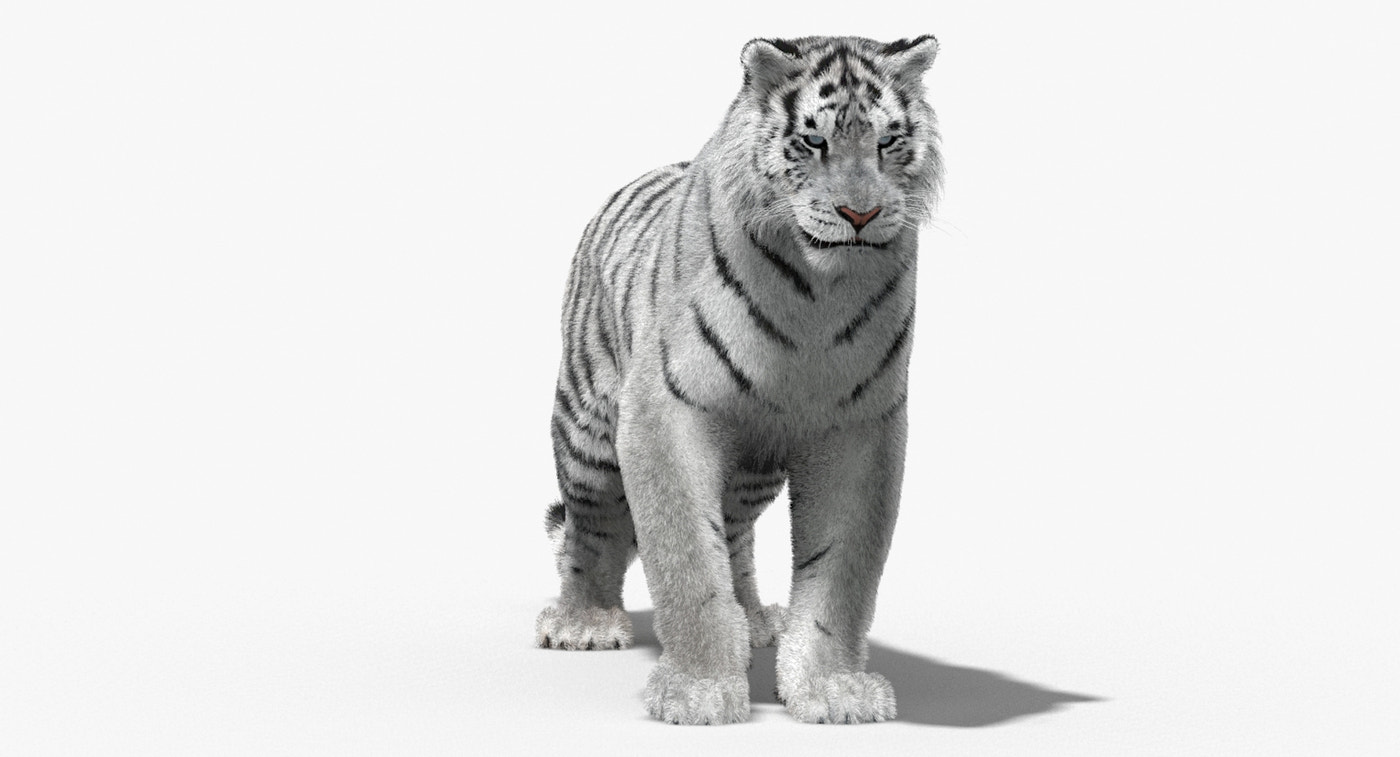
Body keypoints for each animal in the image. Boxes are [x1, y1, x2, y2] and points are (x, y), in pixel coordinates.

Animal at [535, 35, 944, 725]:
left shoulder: (860, 427)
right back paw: (582, 622)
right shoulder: (664, 416)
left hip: (754, 469)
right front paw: (699, 691)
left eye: (888, 141)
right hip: (587, 435)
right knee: (589, 530)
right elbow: (687, 562)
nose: (860, 213)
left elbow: (841, 575)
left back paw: (752, 620)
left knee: (733, 531)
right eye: (813, 141)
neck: (816, 298)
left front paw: (832, 690)